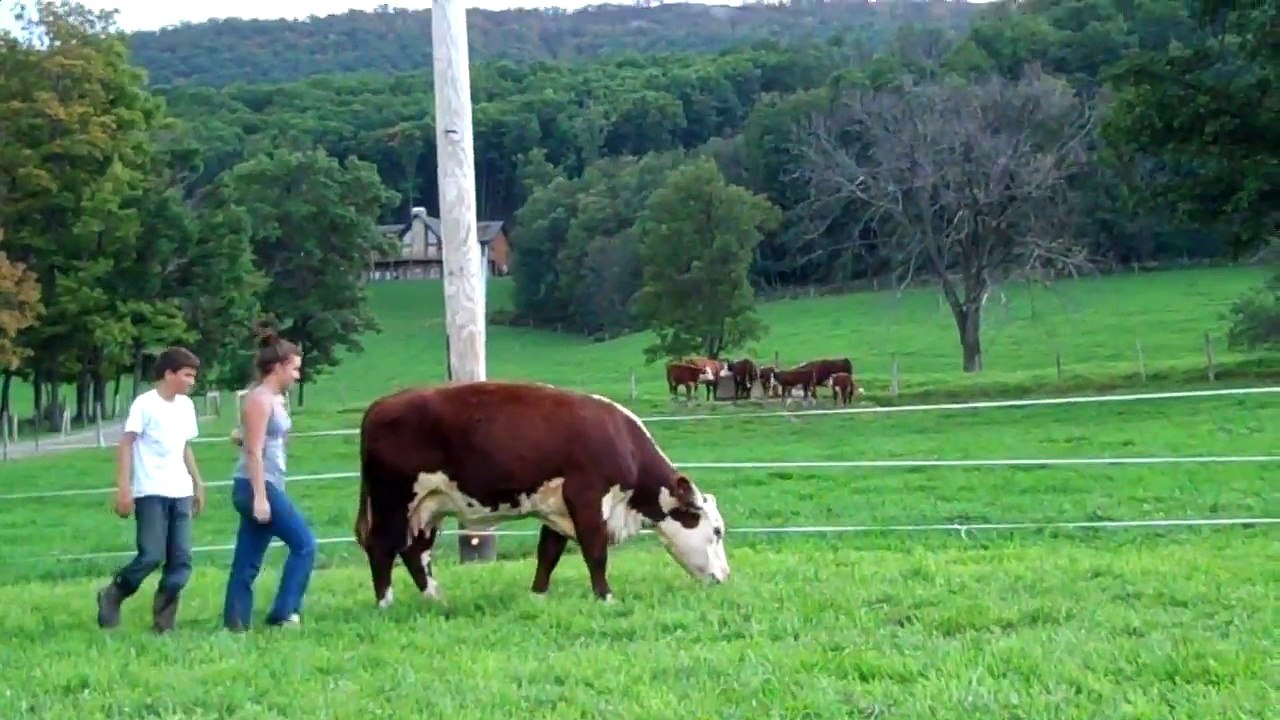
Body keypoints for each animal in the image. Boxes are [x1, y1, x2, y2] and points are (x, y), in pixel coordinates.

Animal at [353, 381, 731, 607]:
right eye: (716, 531)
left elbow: (548, 553)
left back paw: (435, 598)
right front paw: (606, 596)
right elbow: (595, 552)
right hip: (393, 500)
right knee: (382, 546)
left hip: (427, 506)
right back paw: (385, 603)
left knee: (415, 551)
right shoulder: (587, 498)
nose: (726, 577)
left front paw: (538, 594)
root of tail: (379, 406)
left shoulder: (557, 508)